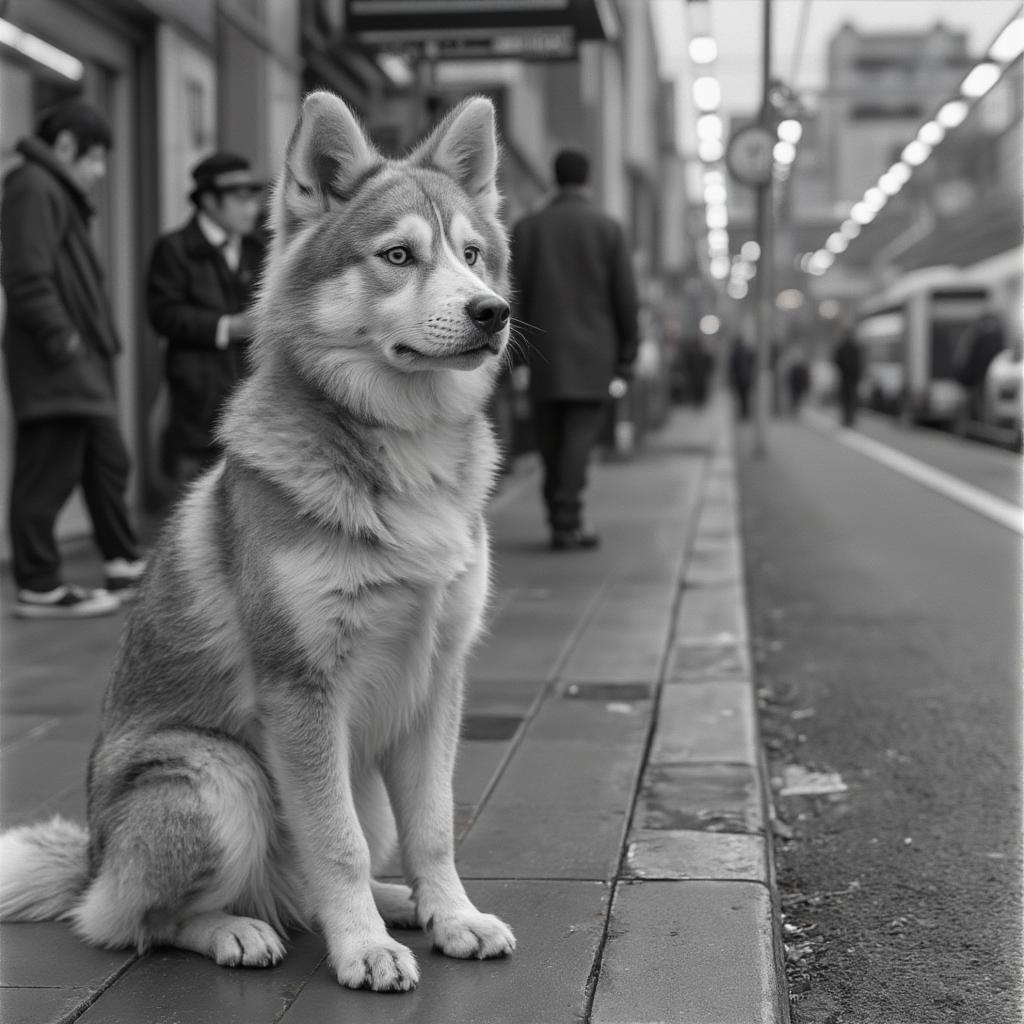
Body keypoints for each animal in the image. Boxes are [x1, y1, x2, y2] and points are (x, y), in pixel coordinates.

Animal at [0, 90, 512, 991]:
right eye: (398, 255)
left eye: (473, 254)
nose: (493, 311)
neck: (403, 450)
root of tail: (92, 858)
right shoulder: (300, 690)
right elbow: (336, 844)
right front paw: (364, 948)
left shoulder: (436, 683)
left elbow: (434, 827)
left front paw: (450, 915)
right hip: (219, 774)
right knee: (133, 923)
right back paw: (239, 930)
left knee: (306, 883)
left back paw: (398, 902)